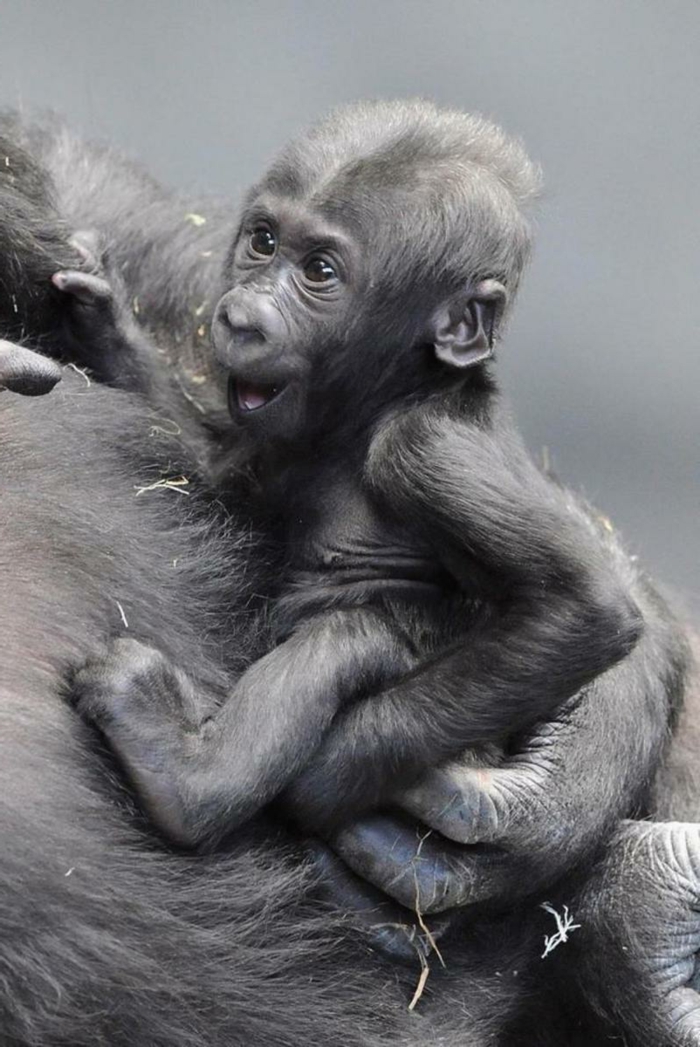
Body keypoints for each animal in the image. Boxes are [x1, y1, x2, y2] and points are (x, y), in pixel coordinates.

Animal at [66, 96, 648, 858]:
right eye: (262, 241)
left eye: (320, 271)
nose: (241, 318)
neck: (392, 394)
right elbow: (205, 470)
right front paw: (106, 325)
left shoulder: (427, 448)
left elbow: (588, 608)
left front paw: (329, 779)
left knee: (343, 641)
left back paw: (186, 773)